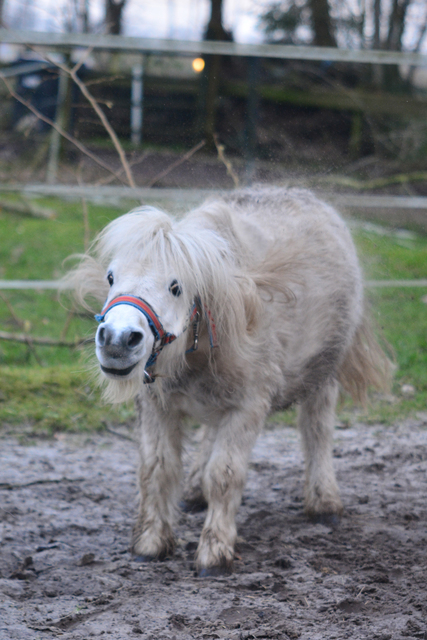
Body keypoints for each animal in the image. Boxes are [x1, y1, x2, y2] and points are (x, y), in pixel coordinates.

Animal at [69, 186, 392, 576]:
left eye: (175, 286)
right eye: (111, 277)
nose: (117, 339)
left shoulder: (246, 408)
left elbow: (224, 476)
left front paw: (215, 552)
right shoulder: (157, 406)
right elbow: (158, 470)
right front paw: (150, 544)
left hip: (322, 373)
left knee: (317, 430)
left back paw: (324, 502)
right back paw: (194, 491)